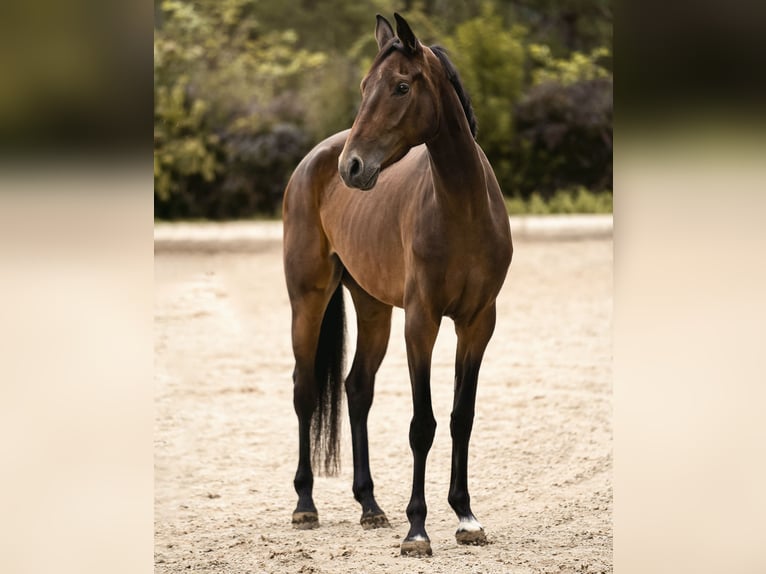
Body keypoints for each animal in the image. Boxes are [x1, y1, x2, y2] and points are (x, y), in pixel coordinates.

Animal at [284, 13, 516, 560]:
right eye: (365, 86)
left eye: (401, 87)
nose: (352, 168)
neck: (462, 209)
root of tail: (314, 159)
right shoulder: (422, 322)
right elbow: (422, 425)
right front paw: (418, 530)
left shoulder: (478, 324)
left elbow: (460, 417)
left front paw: (466, 517)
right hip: (307, 301)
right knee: (305, 390)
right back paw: (305, 504)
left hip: (372, 310)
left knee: (356, 389)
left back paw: (370, 506)